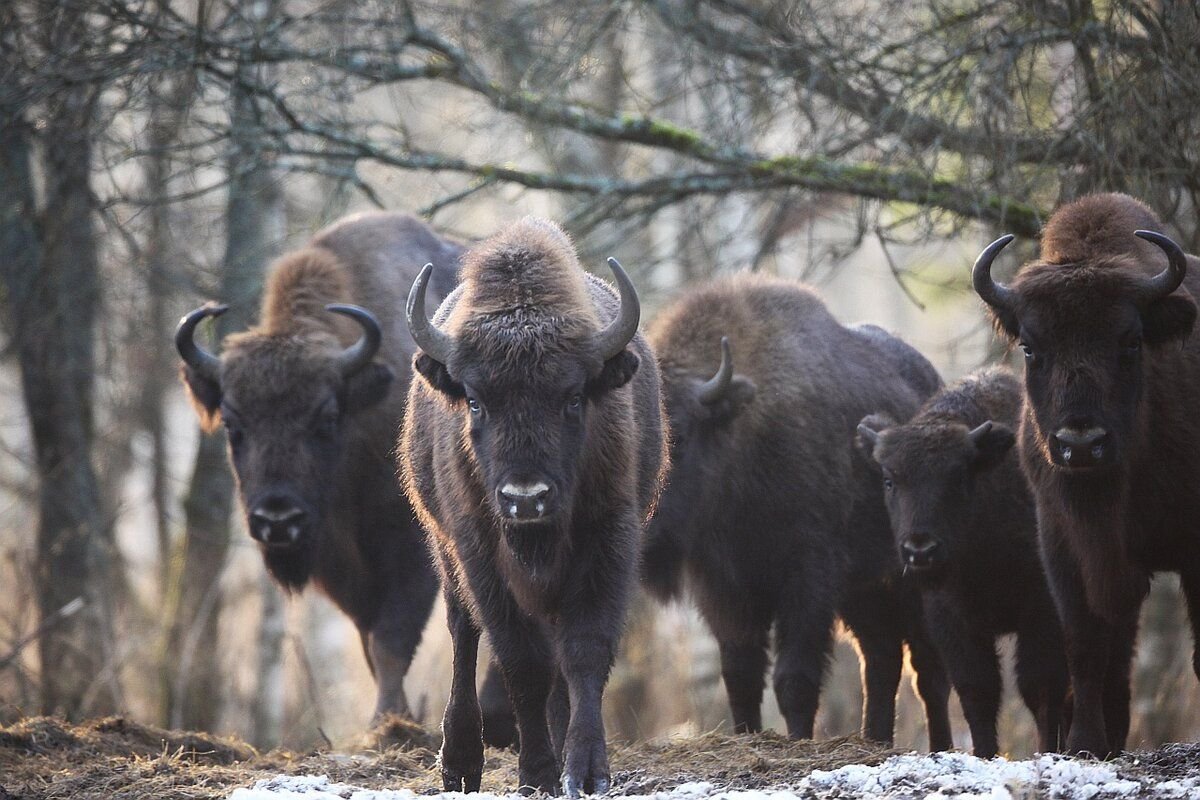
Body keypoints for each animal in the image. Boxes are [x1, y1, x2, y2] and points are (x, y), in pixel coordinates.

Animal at [175, 209, 511, 743]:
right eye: (232, 423)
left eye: (326, 418)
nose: (278, 520)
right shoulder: (345, 574)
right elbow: (370, 643)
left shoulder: (410, 551)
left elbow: (391, 639)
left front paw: (388, 723)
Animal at [400, 215, 667, 796]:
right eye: (475, 400)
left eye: (573, 397)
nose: (527, 499)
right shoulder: (480, 553)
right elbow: (523, 662)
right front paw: (537, 773)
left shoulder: (608, 542)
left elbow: (583, 651)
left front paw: (584, 768)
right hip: (447, 552)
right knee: (464, 633)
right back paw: (460, 764)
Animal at [643, 273, 950, 753]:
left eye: (683, 433)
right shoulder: (724, 589)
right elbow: (741, 674)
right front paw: (748, 734)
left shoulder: (808, 579)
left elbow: (794, 677)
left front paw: (799, 739)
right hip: (862, 592)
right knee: (881, 658)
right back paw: (875, 739)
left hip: (909, 581)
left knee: (926, 669)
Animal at [854, 369, 1070, 758]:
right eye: (889, 480)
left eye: (957, 476)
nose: (920, 550)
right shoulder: (951, 619)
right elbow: (977, 689)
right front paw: (985, 753)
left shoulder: (1042, 611)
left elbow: (1040, 685)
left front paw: (1049, 749)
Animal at [974, 191, 1200, 758]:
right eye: (1030, 346)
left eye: (1131, 341)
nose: (1081, 444)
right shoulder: (1065, 544)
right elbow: (1085, 643)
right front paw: (1084, 743)